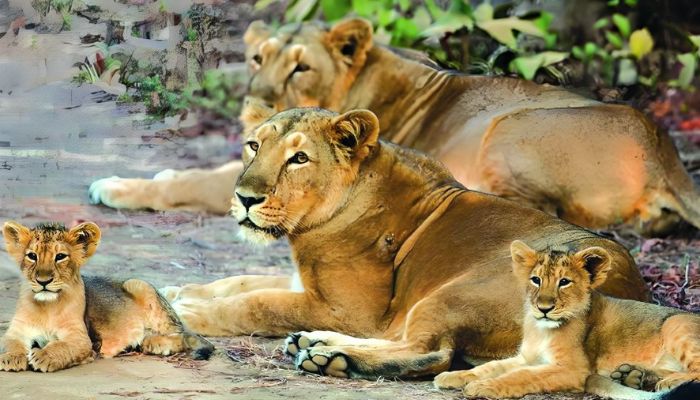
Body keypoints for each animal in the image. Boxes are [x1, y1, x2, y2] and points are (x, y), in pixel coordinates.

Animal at [0, 221, 213, 372]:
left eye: (60, 256)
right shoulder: (17, 330)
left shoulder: (82, 339)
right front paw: (11, 357)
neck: (46, 307)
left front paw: (44, 356)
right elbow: (10, 342)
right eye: (32, 256)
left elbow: (62, 346)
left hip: (139, 285)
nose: (43, 281)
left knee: (182, 336)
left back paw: (155, 344)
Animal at [88, 18, 700, 236]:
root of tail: (666, 153)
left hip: (510, 124)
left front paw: (116, 186)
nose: (256, 103)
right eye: (258, 58)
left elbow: (198, 179)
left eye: (301, 68)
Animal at [162, 106, 649, 379]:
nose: (244, 197)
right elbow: (240, 281)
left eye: (299, 158)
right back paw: (314, 344)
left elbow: (257, 302)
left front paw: (187, 312)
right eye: (253, 146)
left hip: (455, 293)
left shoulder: (352, 310)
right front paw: (179, 291)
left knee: (431, 352)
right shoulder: (312, 287)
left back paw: (333, 359)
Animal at [434, 240, 700, 399]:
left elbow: (523, 375)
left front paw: (485, 387)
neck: (541, 329)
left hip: (676, 324)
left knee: (695, 369)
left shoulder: (574, 370)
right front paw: (453, 376)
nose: (544, 308)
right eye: (536, 280)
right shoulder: (526, 357)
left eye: (564, 282)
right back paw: (634, 375)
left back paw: (665, 381)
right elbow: (490, 366)